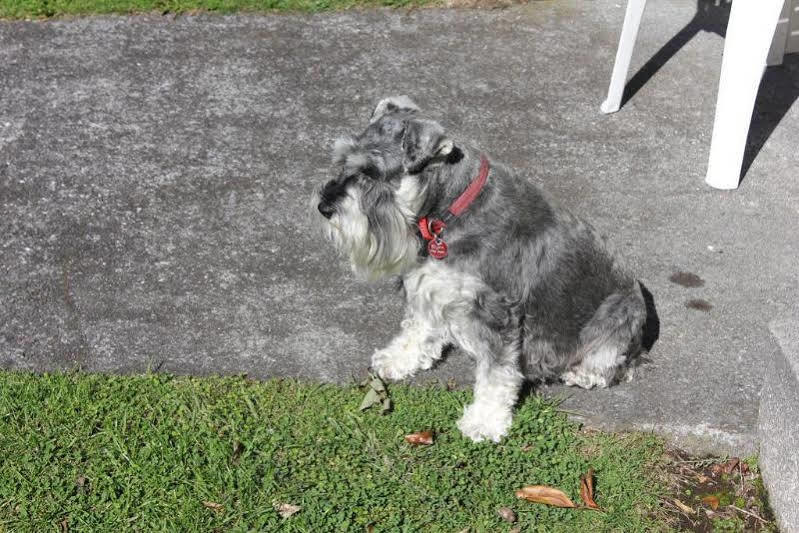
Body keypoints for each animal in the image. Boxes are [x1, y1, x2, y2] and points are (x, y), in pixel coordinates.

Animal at [314, 97, 648, 442]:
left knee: (613, 364)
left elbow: (497, 373)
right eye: (342, 159)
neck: (450, 210)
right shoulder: (431, 284)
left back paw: (582, 372)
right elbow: (418, 327)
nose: (324, 207)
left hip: (617, 317)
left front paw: (485, 421)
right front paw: (399, 358)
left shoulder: (498, 311)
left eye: (372, 173)